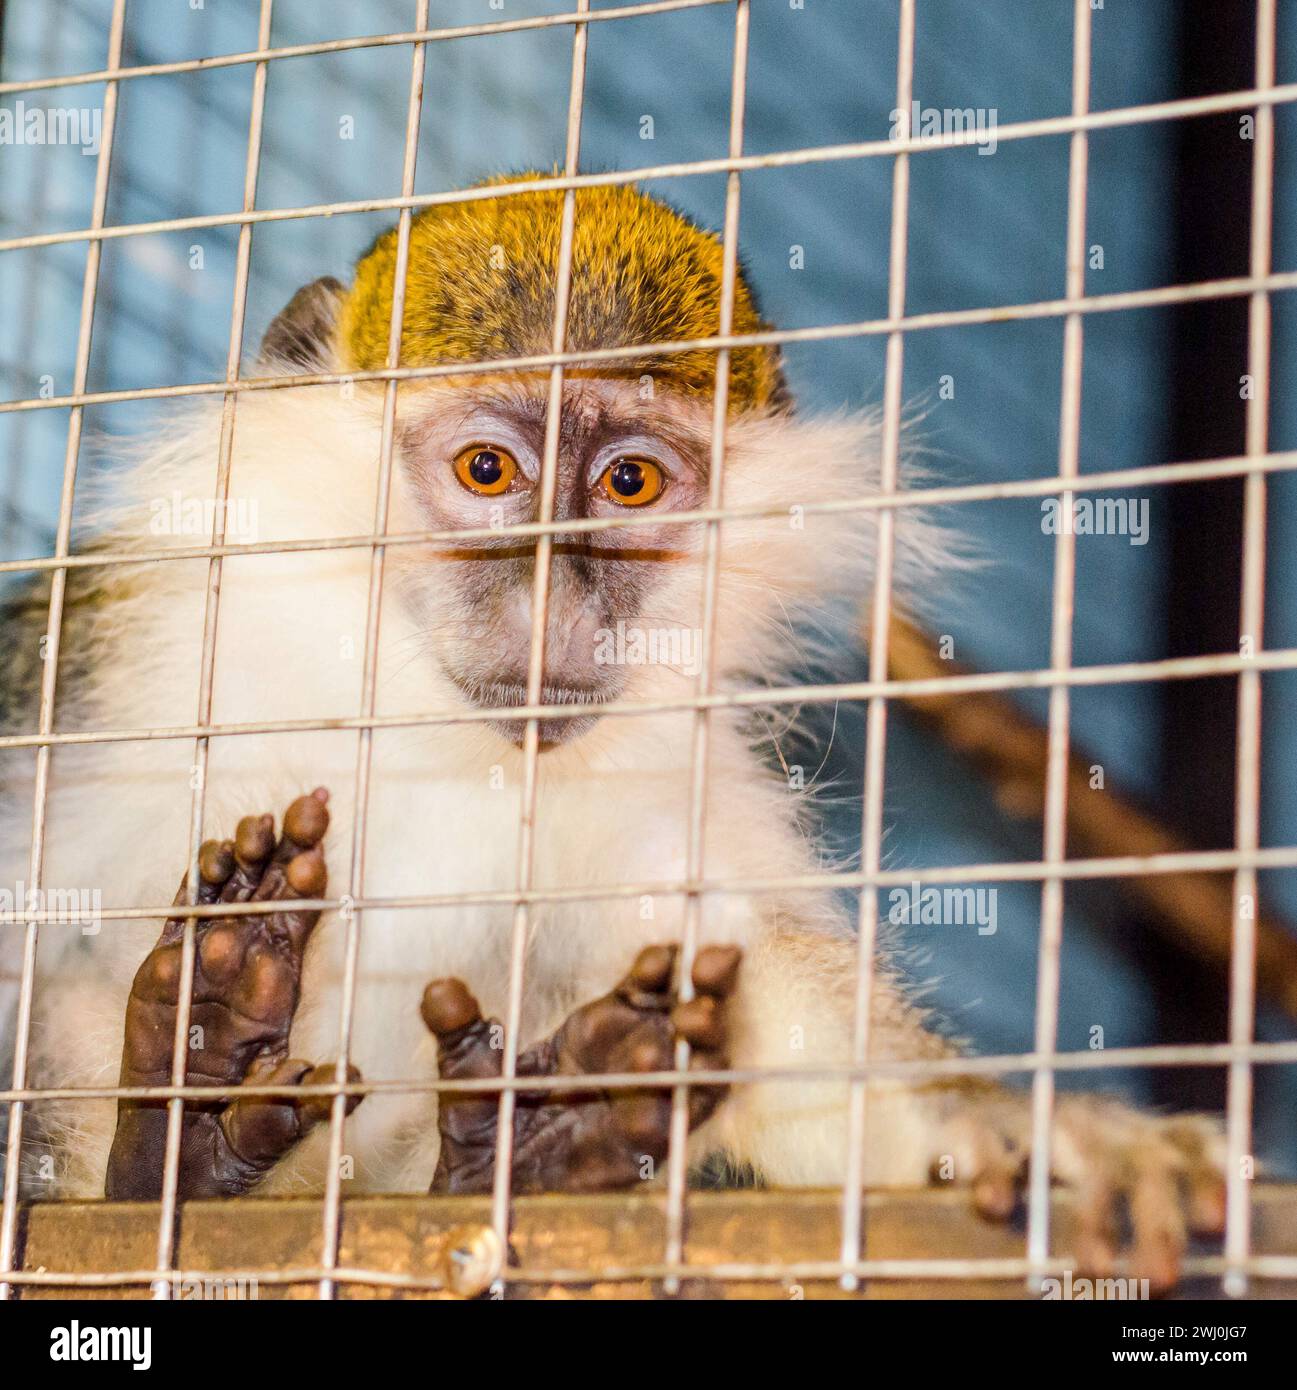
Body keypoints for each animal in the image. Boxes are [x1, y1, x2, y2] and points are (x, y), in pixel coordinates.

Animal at [0, 176, 1223, 1289]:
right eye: (488, 469)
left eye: (628, 480)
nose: (551, 595)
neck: (425, 718)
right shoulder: (124, 659)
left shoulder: (668, 767)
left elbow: (762, 976)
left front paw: (1031, 1130)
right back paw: (181, 1125)